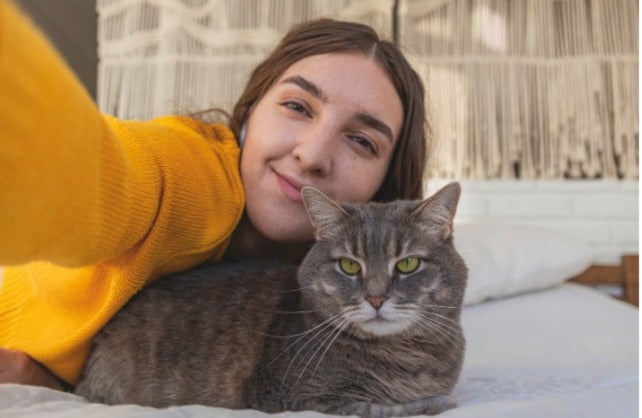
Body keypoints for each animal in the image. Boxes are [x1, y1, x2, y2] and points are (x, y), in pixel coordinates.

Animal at [75, 182, 467, 417]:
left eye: (407, 264)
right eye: (348, 265)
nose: (375, 297)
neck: (411, 356)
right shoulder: (299, 398)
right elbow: (385, 407)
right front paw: (436, 401)